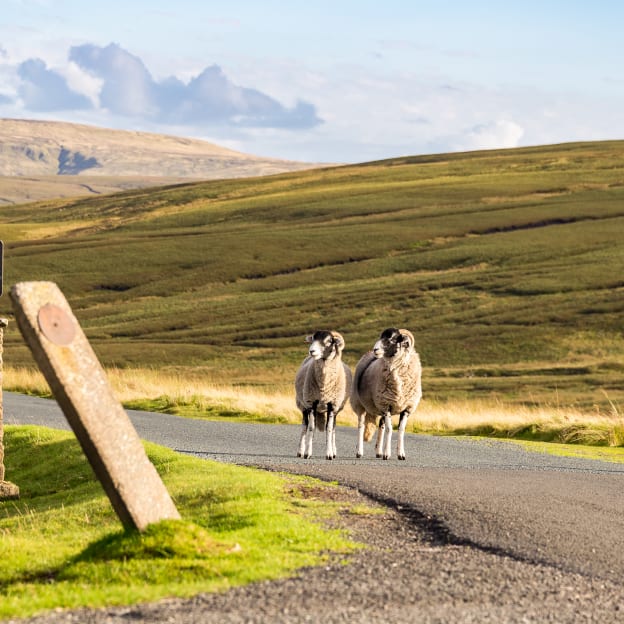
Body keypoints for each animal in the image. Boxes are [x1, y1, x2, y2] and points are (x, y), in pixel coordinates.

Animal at [352, 330, 424, 460]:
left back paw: (378, 451)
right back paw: (359, 452)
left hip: (379, 406)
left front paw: (401, 454)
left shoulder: (406, 408)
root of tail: (368, 353)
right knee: (361, 426)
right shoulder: (386, 405)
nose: (375, 349)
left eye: (392, 339)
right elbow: (390, 430)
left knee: (381, 425)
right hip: (359, 404)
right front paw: (387, 454)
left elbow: (401, 430)